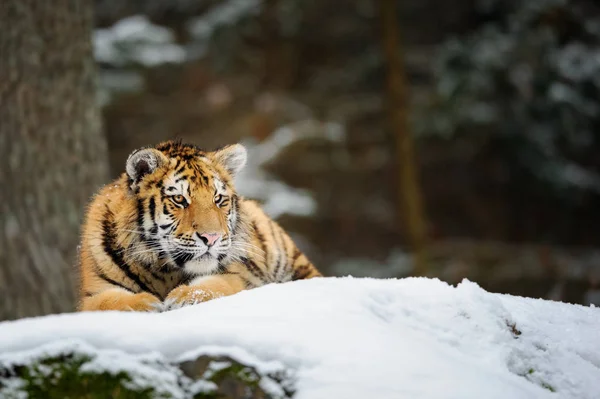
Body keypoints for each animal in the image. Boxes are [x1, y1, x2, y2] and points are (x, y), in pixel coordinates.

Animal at [80, 141, 324, 312]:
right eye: (179, 199)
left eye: (218, 199)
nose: (212, 238)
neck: (164, 270)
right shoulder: (93, 292)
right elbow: (106, 302)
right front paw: (145, 304)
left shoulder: (234, 276)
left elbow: (213, 286)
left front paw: (182, 297)